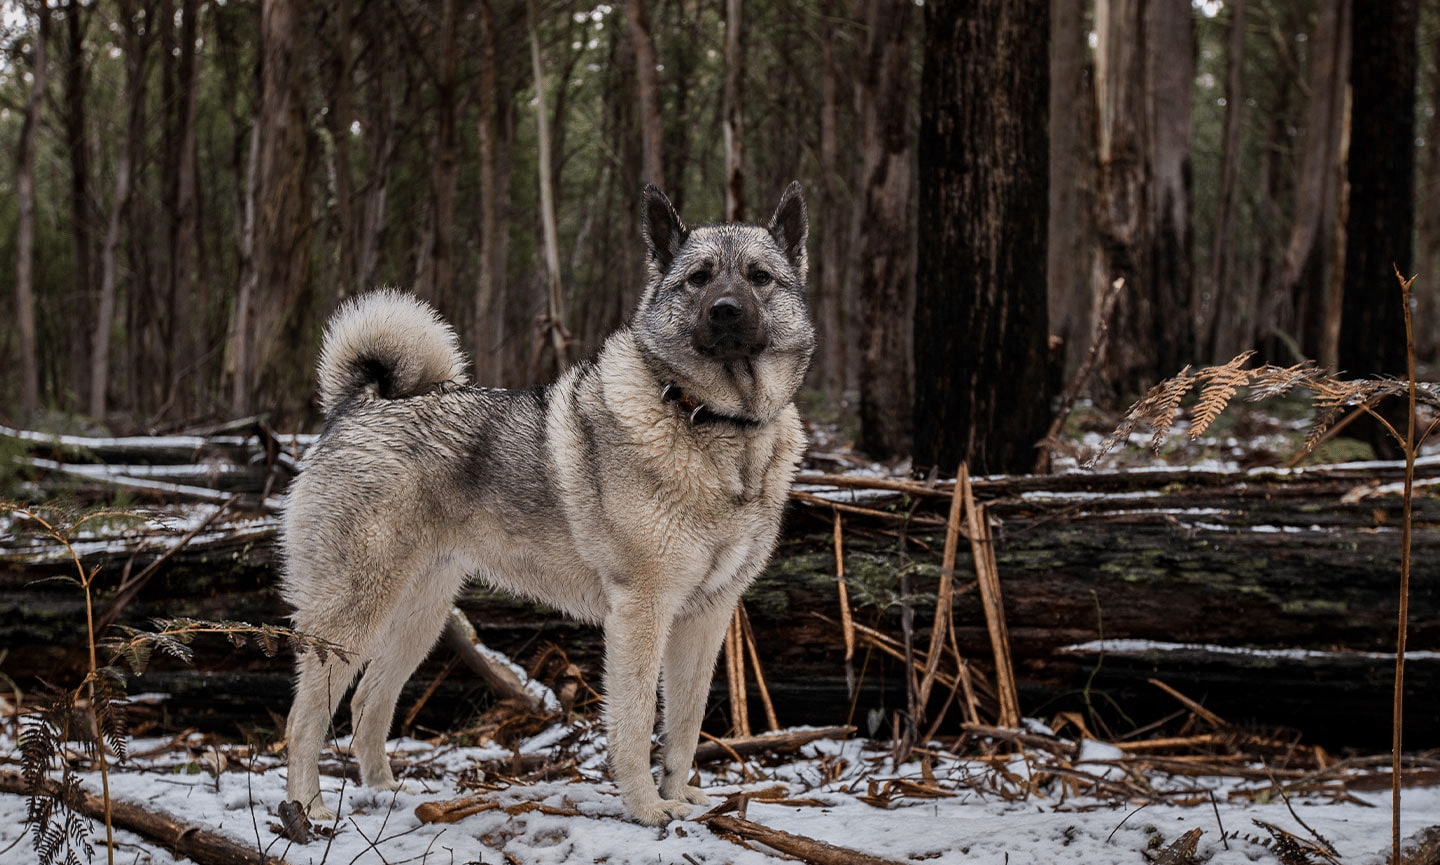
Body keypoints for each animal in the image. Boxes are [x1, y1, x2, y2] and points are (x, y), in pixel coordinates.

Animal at [280, 180, 817, 823]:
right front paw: (647, 809)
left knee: (367, 703)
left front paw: (681, 796)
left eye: (760, 277)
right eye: (698, 279)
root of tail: (359, 405)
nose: (727, 310)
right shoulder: (642, 611)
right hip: (353, 612)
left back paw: (385, 794)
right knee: (303, 718)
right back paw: (307, 809)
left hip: (420, 616)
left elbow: (685, 723)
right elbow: (636, 721)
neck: (715, 423)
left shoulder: (707, 616)